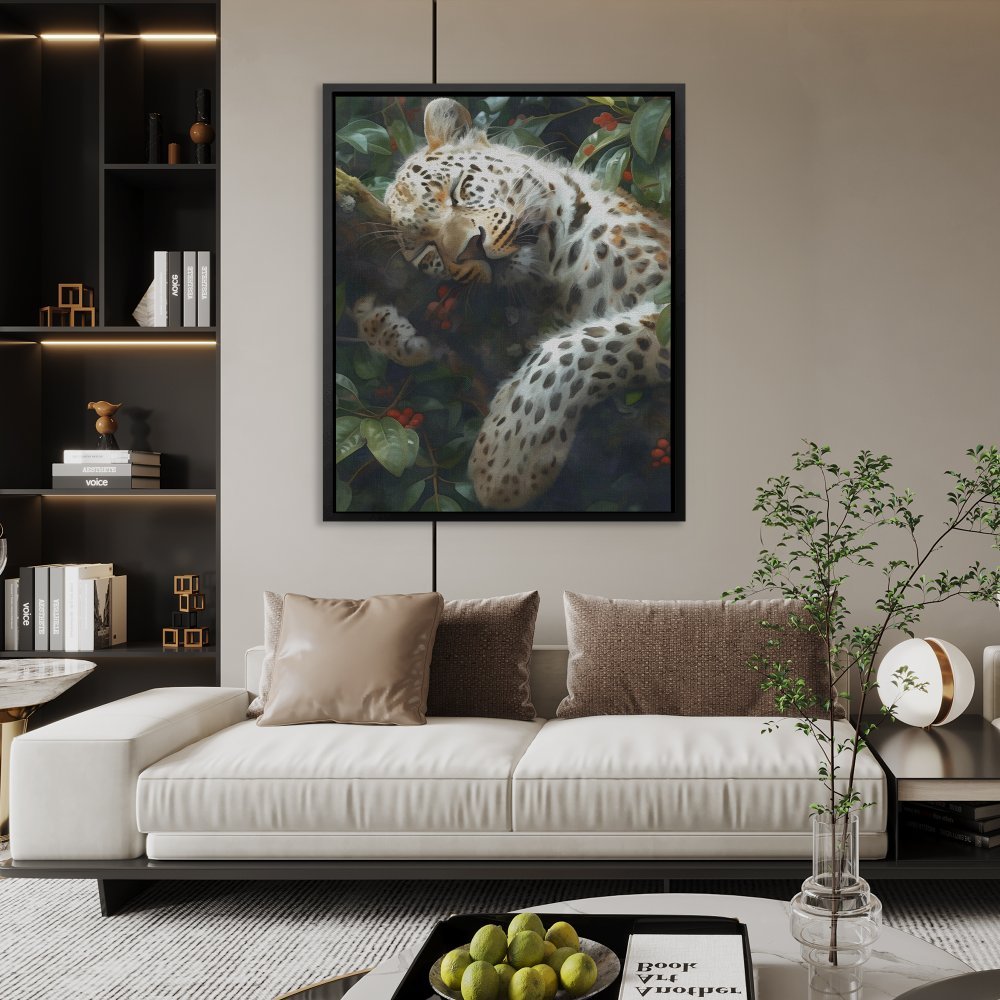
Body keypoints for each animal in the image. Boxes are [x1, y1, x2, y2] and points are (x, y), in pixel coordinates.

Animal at [348, 97, 672, 510]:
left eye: (458, 189)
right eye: (426, 250)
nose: (471, 248)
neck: (553, 275)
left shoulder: (661, 301)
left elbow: (590, 343)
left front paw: (507, 458)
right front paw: (390, 328)